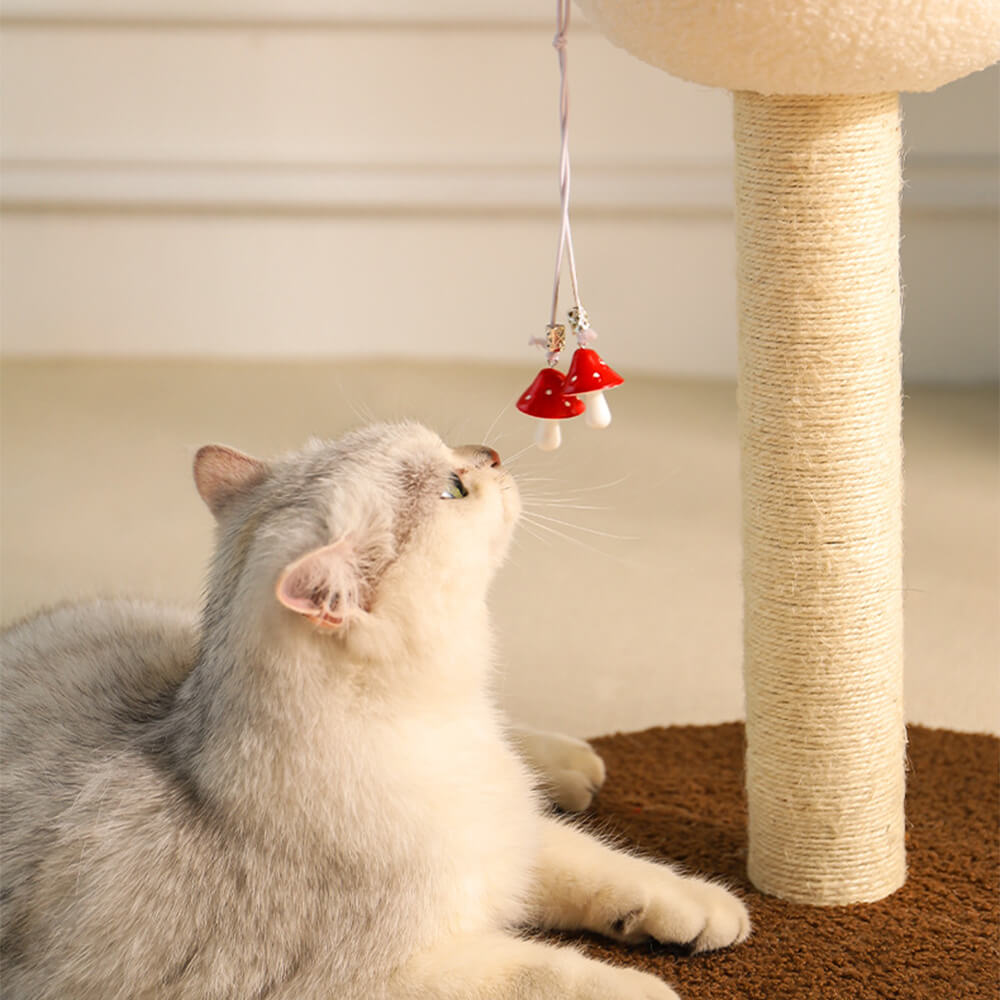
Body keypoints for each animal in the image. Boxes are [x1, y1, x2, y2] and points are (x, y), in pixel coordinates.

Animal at [1, 424, 752, 1000]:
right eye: (453, 487)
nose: (489, 454)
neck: (448, 729)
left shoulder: (509, 831)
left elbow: (599, 861)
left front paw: (695, 903)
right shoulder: (376, 978)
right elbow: (544, 976)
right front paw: (639, 987)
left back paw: (566, 763)